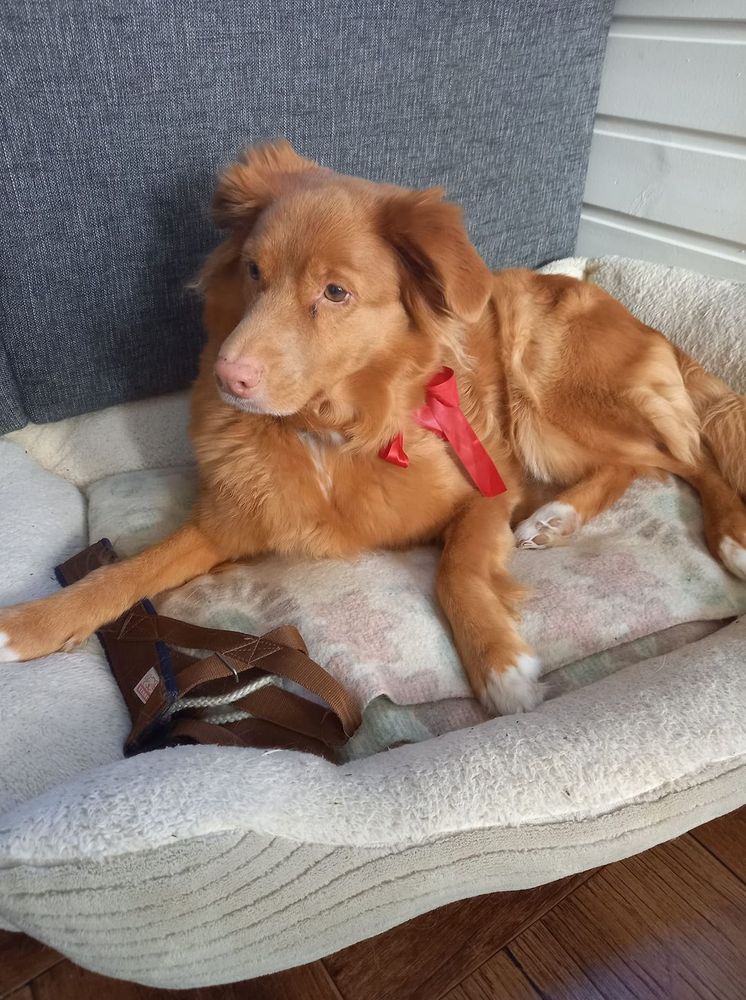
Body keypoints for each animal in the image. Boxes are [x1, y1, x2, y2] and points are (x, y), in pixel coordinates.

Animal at [1, 140, 744, 715]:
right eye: (253, 271)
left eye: (335, 292)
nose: (226, 377)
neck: (330, 431)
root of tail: (633, 315)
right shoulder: (227, 522)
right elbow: (123, 575)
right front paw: (32, 624)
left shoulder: (488, 487)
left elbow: (457, 569)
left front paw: (498, 665)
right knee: (639, 462)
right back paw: (556, 518)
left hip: (545, 399)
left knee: (685, 458)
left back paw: (721, 535)